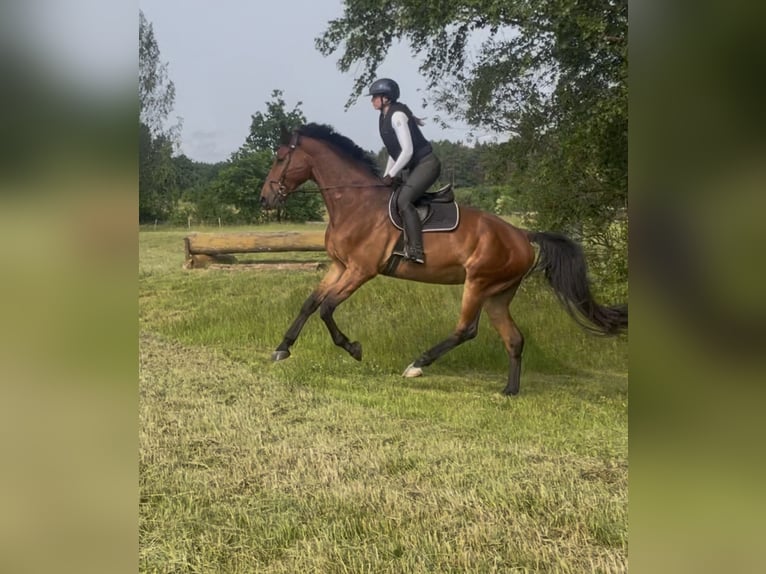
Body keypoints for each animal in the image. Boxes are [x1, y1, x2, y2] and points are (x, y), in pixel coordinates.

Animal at [259, 123, 627, 395]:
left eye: (279, 157)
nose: (265, 199)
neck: (354, 202)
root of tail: (523, 235)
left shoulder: (361, 270)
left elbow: (327, 308)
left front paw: (353, 348)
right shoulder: (340, 266)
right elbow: (310, 303)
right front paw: (282, 348)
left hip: (478, 282)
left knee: (466, 330)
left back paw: (416, 365)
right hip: (498, 293)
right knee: (513, 338)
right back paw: (510, 390)